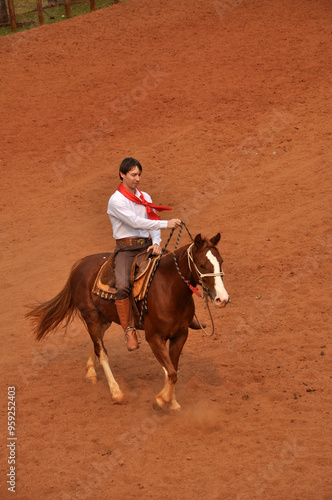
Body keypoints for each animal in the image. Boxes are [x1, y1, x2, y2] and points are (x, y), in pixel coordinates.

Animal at [26, 233, 228, 410]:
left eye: (221, 262)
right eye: (202, 264)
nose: (222, 299)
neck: (169, 289)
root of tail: (80, 264)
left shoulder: (180, 335)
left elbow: (173, 370)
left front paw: (172, 402)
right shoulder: (153, 337)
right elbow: (170, 371)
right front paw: (161, 401)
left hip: (105, 318)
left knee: (96, 343)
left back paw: (90, 371)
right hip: (91, 316)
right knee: (102, 351)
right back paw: (117, 393)